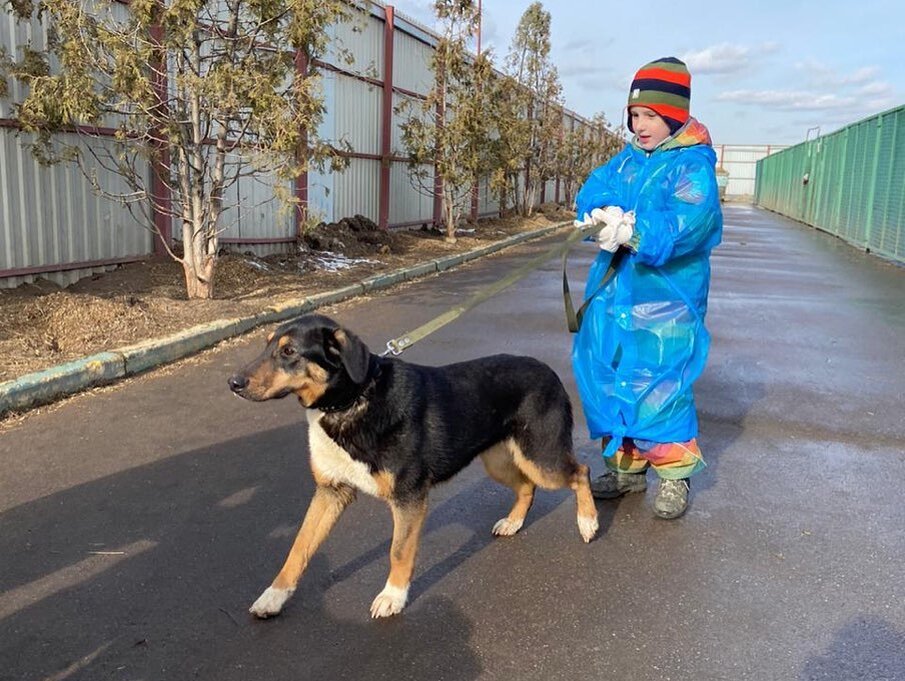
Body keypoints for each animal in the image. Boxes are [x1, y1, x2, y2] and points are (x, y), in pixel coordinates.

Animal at [228, 313, 598, 619]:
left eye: (289, 351)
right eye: (266, 346)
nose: (233, 383)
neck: (352, 401)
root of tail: (547, 369)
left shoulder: (408, 498)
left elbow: (398, 551)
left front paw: (393, 596)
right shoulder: (331, 492)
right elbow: (298, 547)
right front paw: (274, 596)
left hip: (541, 458)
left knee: (580, 472)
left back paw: (588, 523)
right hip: (501, 461)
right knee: (526, 486)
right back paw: (513, 523)